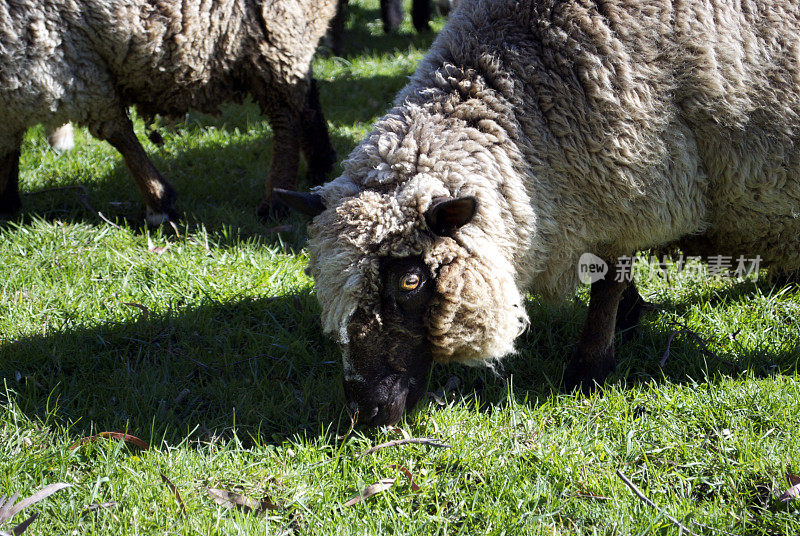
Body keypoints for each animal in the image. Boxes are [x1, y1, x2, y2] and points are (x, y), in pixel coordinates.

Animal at [0, 0, 338, 224]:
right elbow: (10, 143)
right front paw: (7, 201)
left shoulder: (55, 52)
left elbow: (117, 132)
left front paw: (159, 201)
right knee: (307, 94)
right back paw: (320, 165)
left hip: (275, 28)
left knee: (285, 116)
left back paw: (275, 199)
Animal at [278, 0, 800, 428]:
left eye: (410, 281)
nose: (365, 413)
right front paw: (631, 317)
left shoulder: (636, 183)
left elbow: (607, 280)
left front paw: (590, 369)